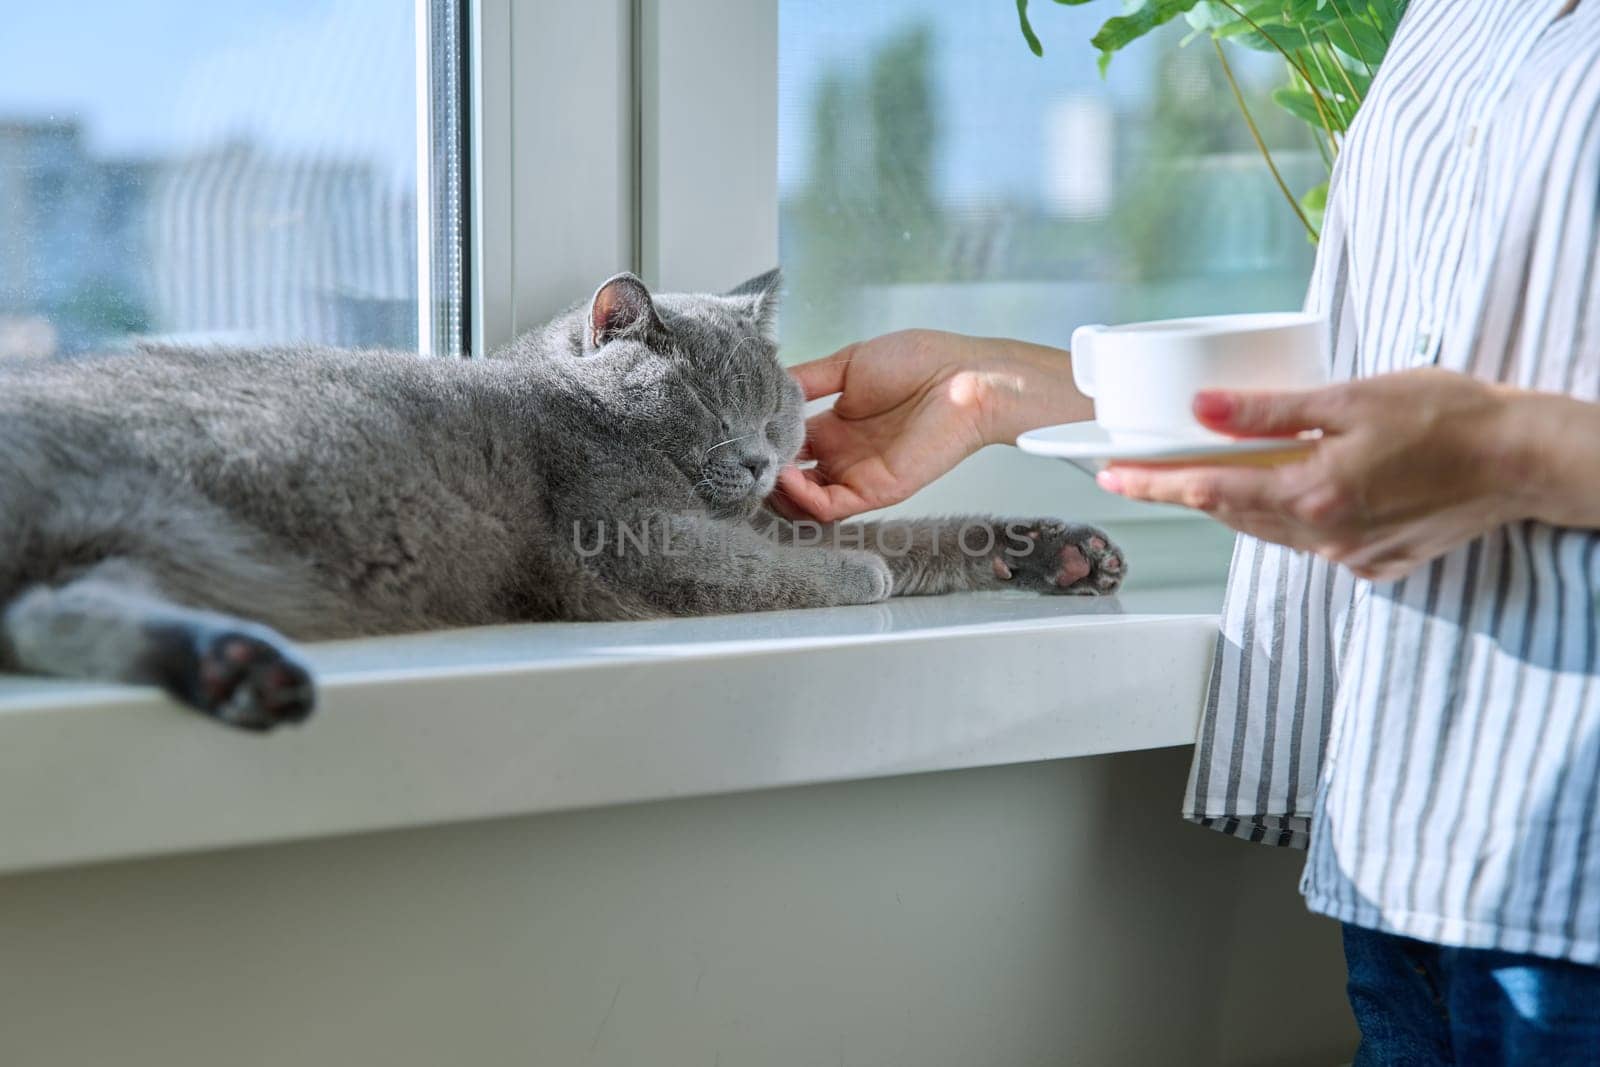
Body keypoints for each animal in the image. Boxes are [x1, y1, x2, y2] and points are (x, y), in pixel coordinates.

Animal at [0, 271, 1126, 729]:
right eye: (713, 409)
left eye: (777, 412)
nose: (761, 461)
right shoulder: (624, 541)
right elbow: (795, 564)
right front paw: (863, 574)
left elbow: (911, 532)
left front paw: (1049, 549)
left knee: (58, 611)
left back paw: (236, 669)